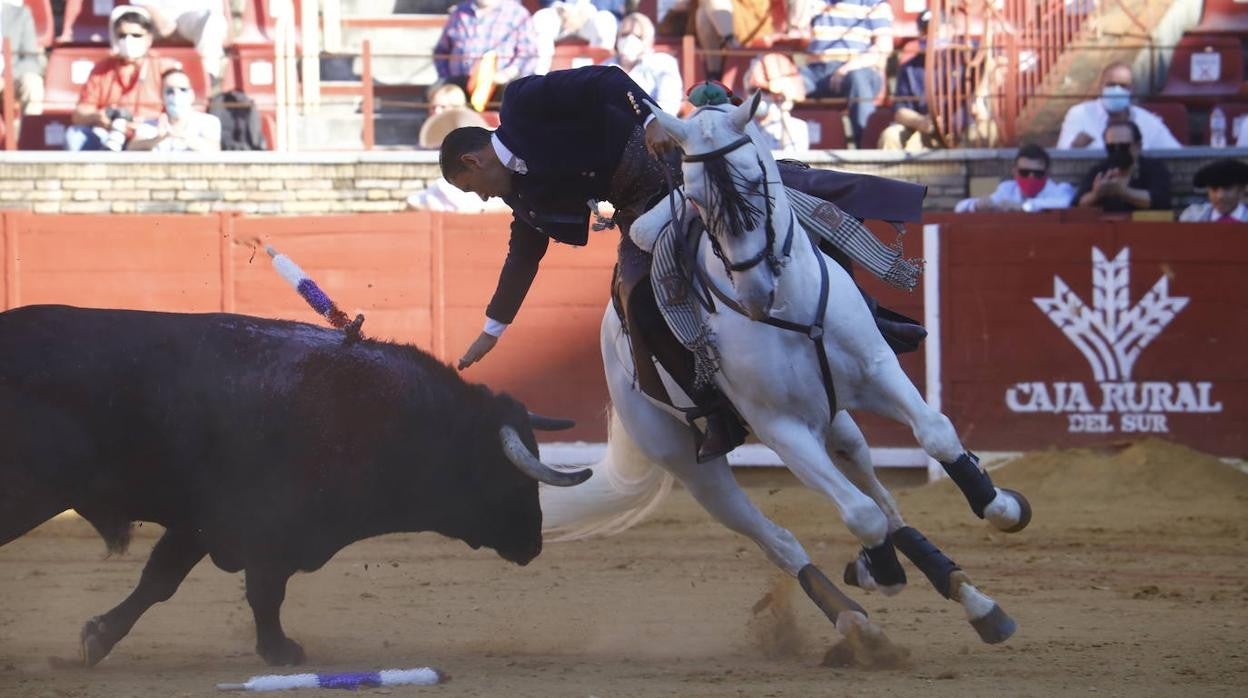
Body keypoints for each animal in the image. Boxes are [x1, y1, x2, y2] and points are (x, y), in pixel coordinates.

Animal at [0, 304, 589, 664]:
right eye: (512, 480)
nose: (534, 545)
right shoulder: (263, 530)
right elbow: (258, 592)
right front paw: (282, 653)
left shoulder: (204, 524)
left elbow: (163, 582)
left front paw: (95, 639)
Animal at [541, 95, 1028, 654]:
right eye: (696, 198)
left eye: (757, 182)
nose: (755, 293)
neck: (788, 307)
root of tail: (608, 343)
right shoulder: (780, 427)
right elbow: (859, 514)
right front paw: (881, 571)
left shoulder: (876, 371)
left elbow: (936, 434)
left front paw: (1003, 508)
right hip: (693, 465)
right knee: (783, 540)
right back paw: (859, 622)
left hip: (834, 420)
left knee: (878, 490)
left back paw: (974, 601)